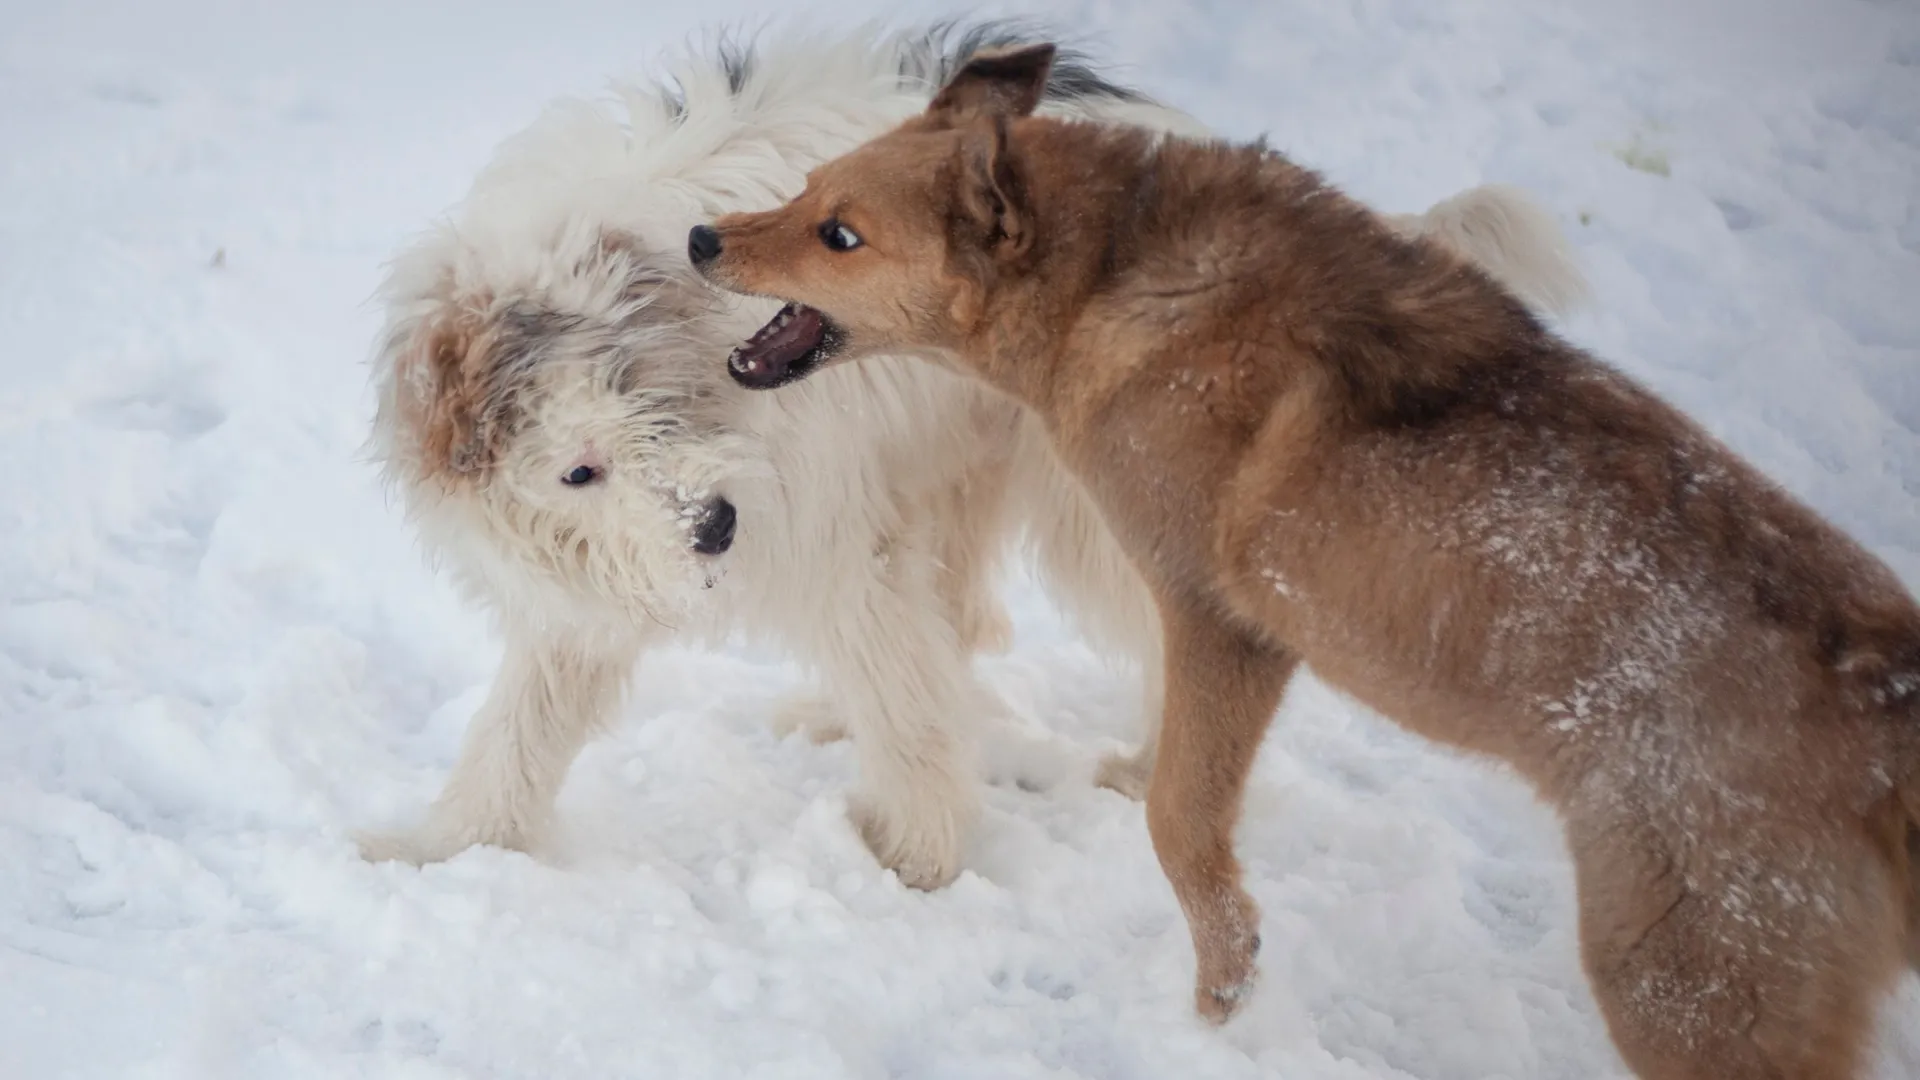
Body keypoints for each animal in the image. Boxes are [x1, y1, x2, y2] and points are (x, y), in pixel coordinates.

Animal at [360, 21, 1589, 887]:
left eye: (658, 407)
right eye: (579, 467)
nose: (714, 527)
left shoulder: (830, 529)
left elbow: (903, 694)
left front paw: (913, 860)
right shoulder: (593, 579)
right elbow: (521, 728)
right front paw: (446, 848)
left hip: (1093, 498)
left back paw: (1146, 770)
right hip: (947, 468)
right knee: (955, 622)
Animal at [691, 44, 1920, 1076]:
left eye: (840, 235)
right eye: (805, 189)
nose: (702, 241)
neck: (1110, 279)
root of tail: (1884, 706)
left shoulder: (1221, 622)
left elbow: (1183, 827)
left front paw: (1219, 1014)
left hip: (1679, 987)